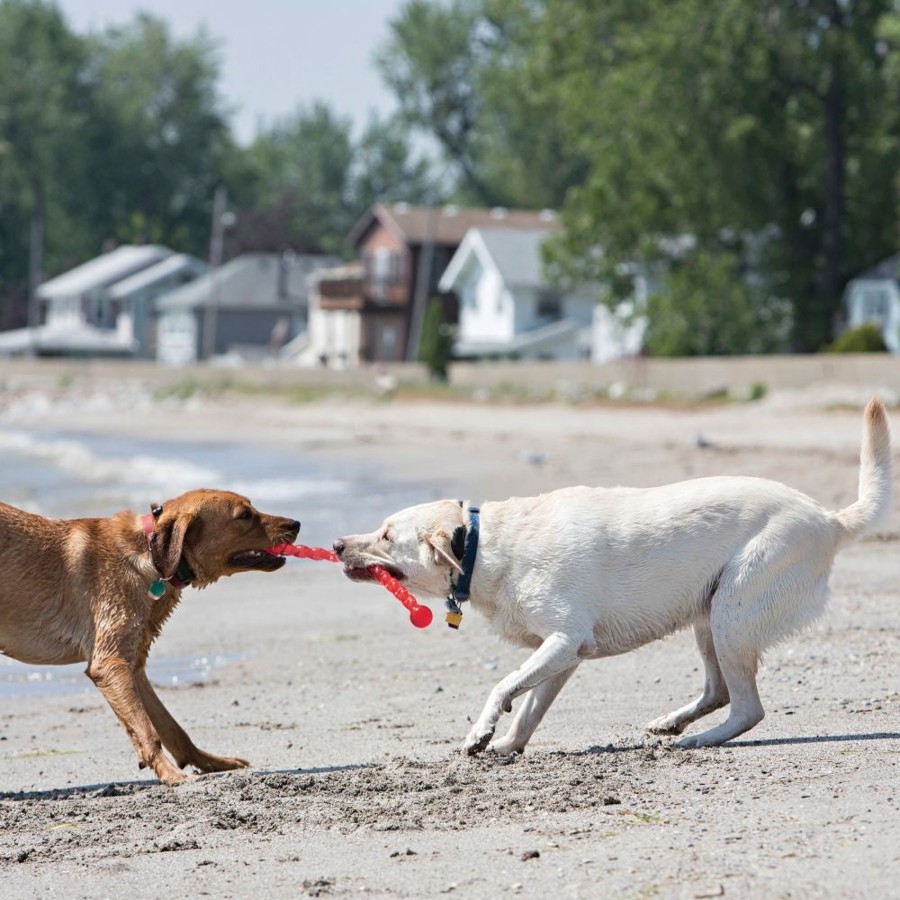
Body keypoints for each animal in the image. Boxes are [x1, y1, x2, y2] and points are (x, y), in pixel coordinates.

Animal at [0, 488, 302, 784]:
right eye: (244, 515)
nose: (296, 524)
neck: (150, 555)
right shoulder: (110, 664)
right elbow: (147, 732)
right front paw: (172, 776)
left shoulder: (133, 666)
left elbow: (172, 728)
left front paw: (210, 763)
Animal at [336, 400, 892, 752]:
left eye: (385, 535)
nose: (338, 543)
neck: (483, 545)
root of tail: (828, 519)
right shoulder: (563, 654)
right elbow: (530, 706)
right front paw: (506, 746)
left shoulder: (563, 640)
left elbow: (504, 686)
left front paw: (481, 732)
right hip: (708, 619)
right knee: (719, 692)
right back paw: (673, 724)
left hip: (732, 611)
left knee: (747, 708)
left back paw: (698, 740)